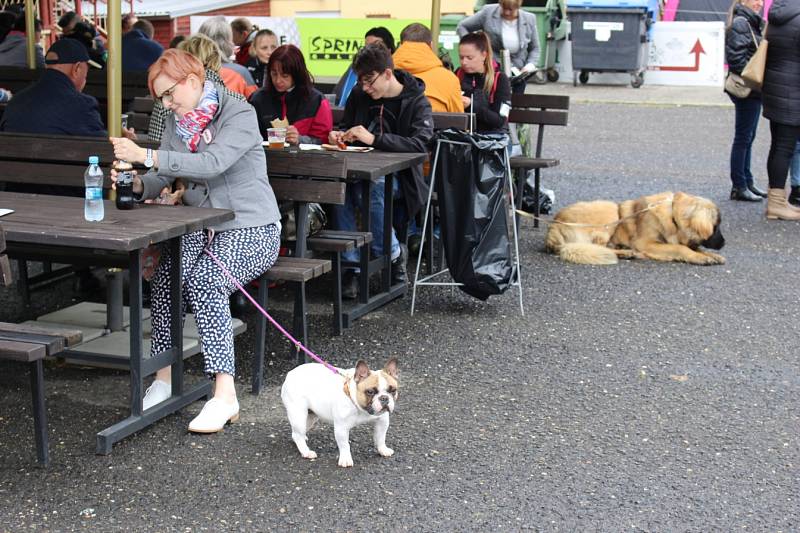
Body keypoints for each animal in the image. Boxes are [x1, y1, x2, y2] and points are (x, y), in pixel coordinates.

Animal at [544, 191, 724, 266]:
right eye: (716, 227)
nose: (724, 243)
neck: (672, 215)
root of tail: (554, 226)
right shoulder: (646, 243)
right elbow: (680, 248)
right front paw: (699, 257)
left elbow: (695, 247)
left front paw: (710, 255)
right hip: (610, 210)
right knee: (598, 246)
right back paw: (627, 252)